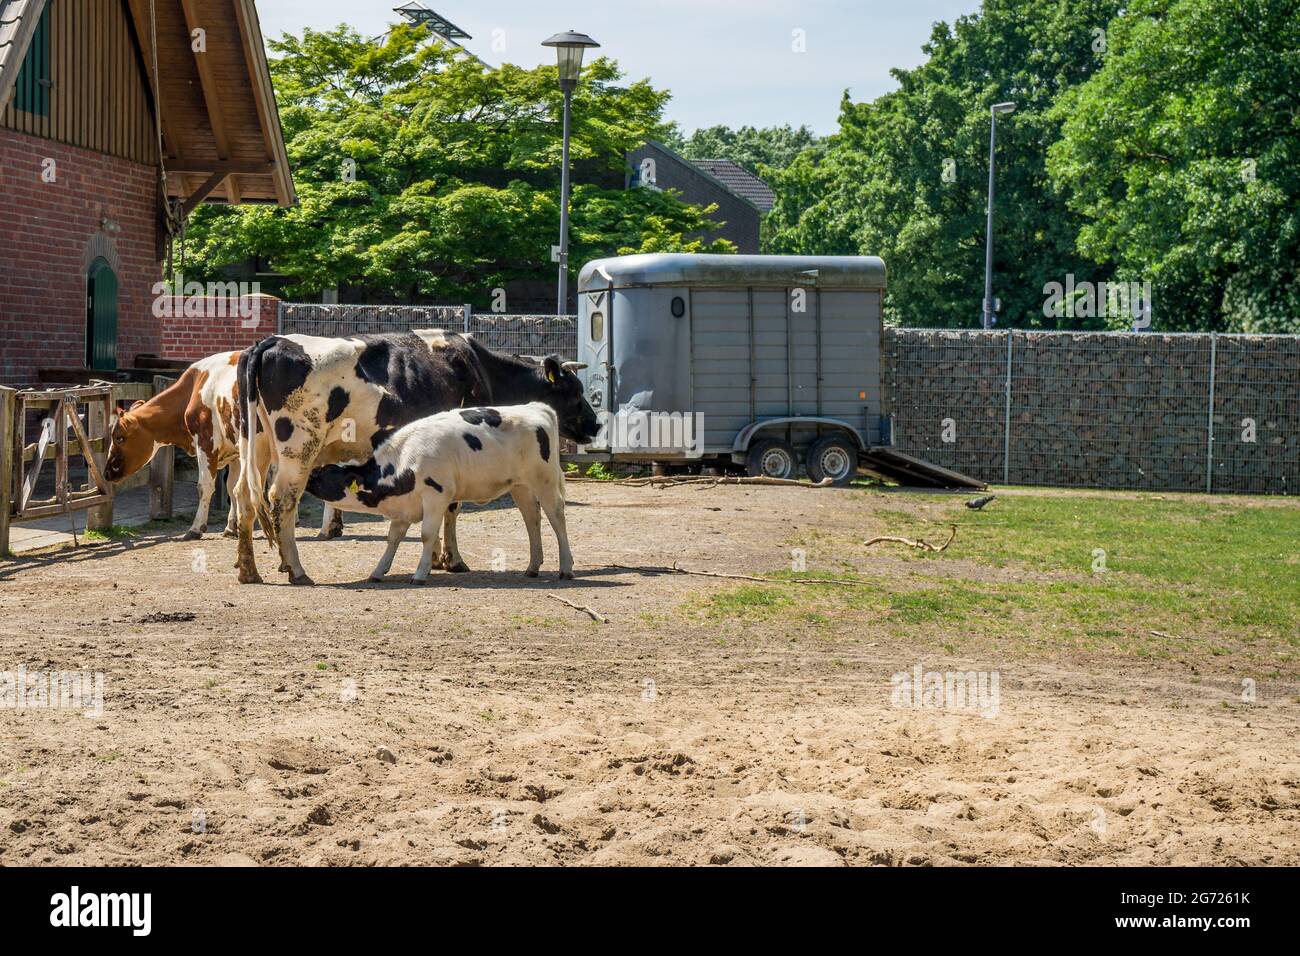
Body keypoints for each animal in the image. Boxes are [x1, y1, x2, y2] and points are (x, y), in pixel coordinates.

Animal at [306, 403, 572, 584]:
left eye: (322, 475)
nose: (306, 477)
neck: (405, 460)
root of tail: (536, 408)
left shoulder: (436, 497)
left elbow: (427, 535)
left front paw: (420, 574)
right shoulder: (404, 510)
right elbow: (393, 539)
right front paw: (378, 571)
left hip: (544, 481)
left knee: (557, 518)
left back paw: (566, 568)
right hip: (521, 486)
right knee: (532, 518)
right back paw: (533, 567)